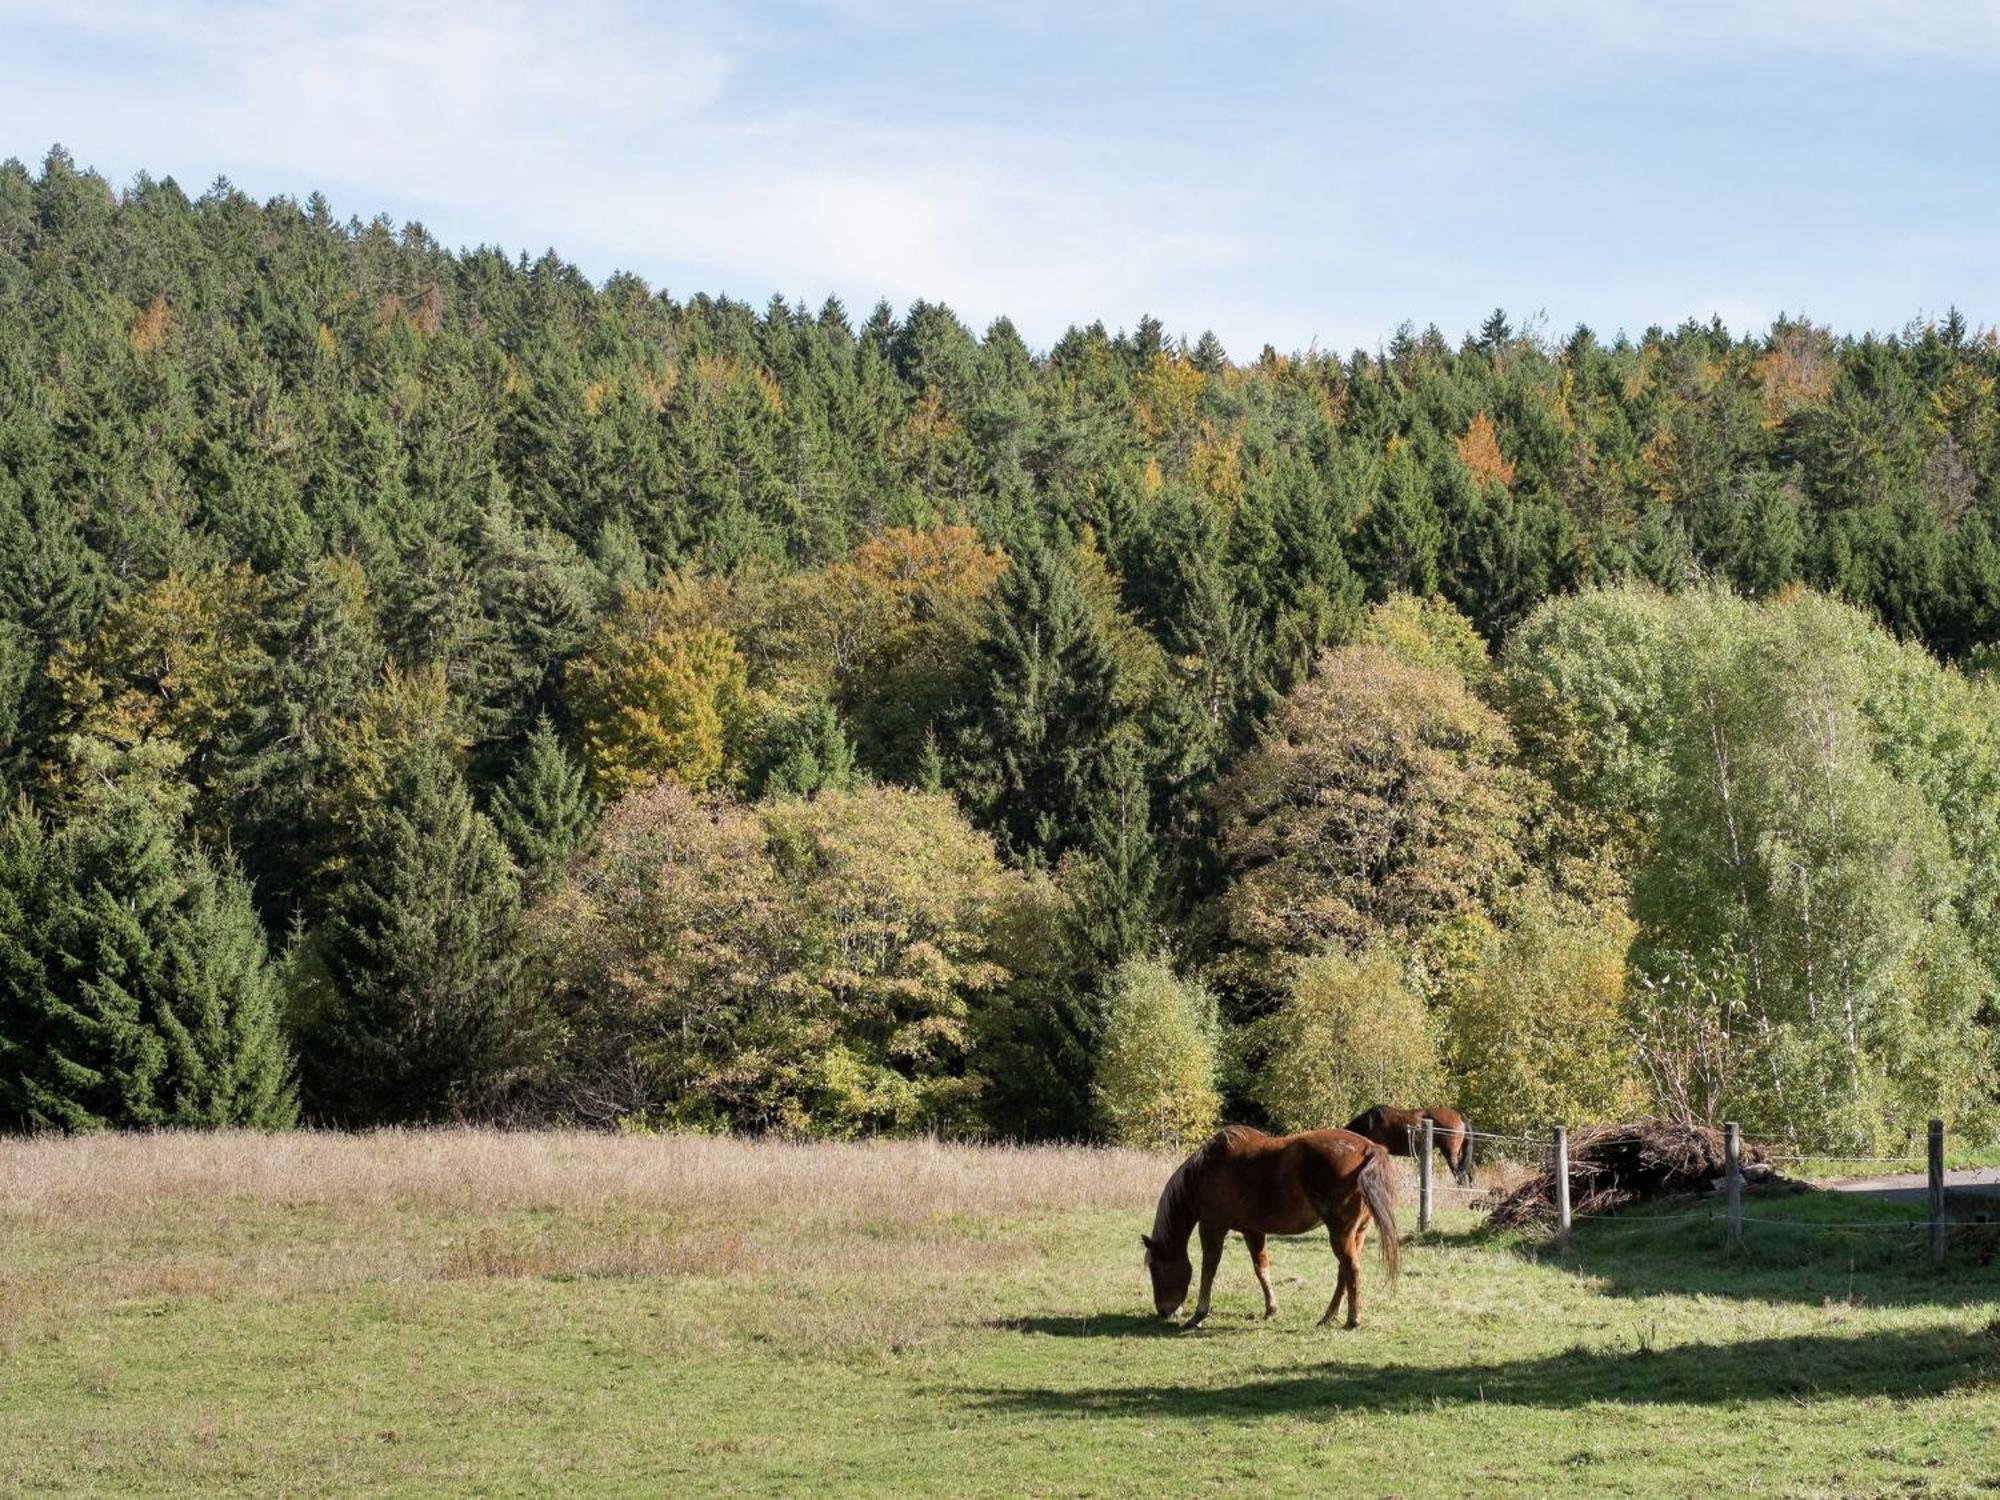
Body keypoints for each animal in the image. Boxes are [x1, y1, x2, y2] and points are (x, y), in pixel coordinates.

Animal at [1144, 1128, 1408, 1336]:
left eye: (1155, 1269)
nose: (1164, 1311)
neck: (1205, 1170)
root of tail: (1369, 1148)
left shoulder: (1212, 1227)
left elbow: (1208, 1269)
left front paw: (1198, 1315)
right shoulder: (1252, 1231)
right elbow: (1262, 1268)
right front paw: (1271, 1309)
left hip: (1341, 1233)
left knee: (1350, 1269)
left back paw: (1352, 1320)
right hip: (1357, 1233)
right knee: (1344, 1271)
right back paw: (1328, 1316)